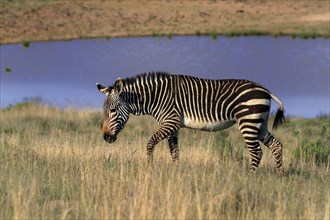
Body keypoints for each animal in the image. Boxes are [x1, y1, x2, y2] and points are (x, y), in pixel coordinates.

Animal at [96, 72, 284, 175]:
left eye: (113, 110)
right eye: (104, 111)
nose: (106, 138)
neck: (156, 97)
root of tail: (265, 89)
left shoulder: (171, 121)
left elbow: (150, 143)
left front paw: (150, 167)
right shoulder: (173, 126)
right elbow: (174, 151)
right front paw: (176, 172)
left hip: (248, 121)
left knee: (256, 152)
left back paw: (250, 176)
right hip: (259, 123)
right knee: (276, 145)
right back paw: (280, 175)